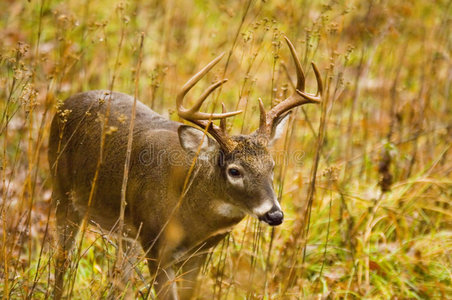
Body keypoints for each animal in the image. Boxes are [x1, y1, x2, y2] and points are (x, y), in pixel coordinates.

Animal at [48, 36, 322, 298]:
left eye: (272, 166)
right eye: (234, 170)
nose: (274, 215)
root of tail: (64, 105)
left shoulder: (197, 254)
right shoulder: (155, 244)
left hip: (126, 231)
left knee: (118, 277)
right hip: (62, 192)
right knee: (61, 261)